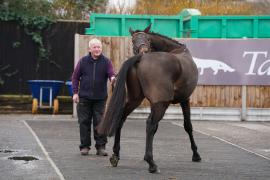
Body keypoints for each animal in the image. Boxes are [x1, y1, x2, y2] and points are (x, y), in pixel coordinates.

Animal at [98, 25, 201, 173]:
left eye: (147, 39)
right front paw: (196, 154)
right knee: (150, 125)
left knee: (121, 119)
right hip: (161, 104)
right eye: (133, 40)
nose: (143, 50)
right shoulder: (184, 99)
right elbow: (188, 126)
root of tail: (141, 58)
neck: (177, 50)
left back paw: (115, 155)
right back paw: (151, 163)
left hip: (135, 100)